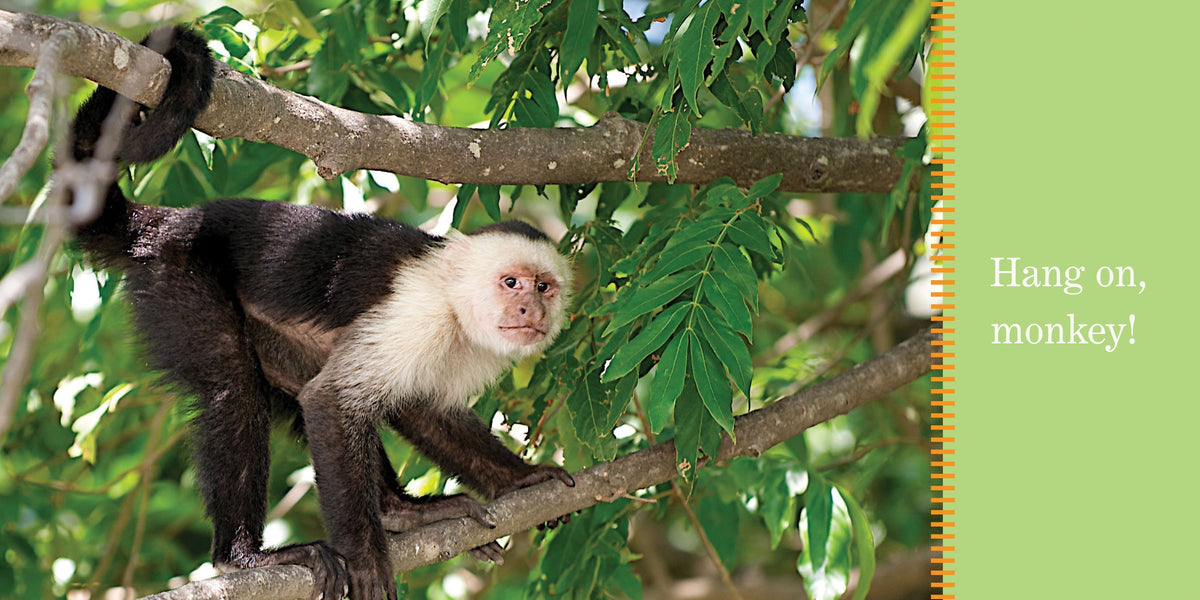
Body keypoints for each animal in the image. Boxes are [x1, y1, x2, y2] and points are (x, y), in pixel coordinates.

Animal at [64, 26, 576, 600]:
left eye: (544, 286)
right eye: (510, 282)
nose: (529, 307)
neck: (453, 307)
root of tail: (168, 224)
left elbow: (421, 410)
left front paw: (517, 478)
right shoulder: (415, 312)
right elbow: (332, 403)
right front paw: (366, 556)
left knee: (305, 386)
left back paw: (400, 513)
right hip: (182, 275)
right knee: (236, 389)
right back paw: (242, 557)